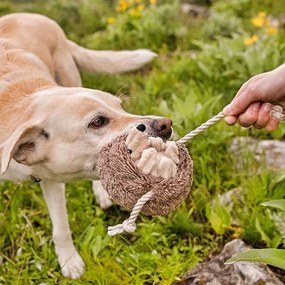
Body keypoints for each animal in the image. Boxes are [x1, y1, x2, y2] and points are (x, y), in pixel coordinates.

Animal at [0, 12, 173, 278]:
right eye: (97, 122)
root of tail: (31, 15)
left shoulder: (50, 179)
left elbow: (60, 228)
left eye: (121, 107)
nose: (166, 124)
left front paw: (69, 261)